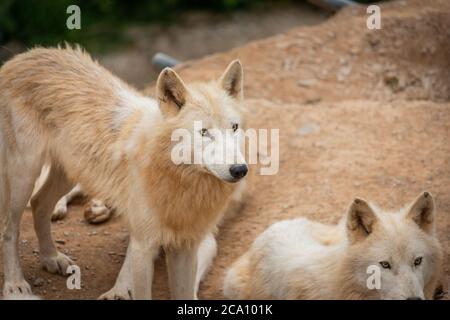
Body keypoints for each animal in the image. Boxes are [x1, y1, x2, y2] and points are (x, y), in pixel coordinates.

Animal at [0, 45, 248, 300]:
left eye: (234, 127)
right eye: (204, 132)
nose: (240, 170)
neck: (180, 179)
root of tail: (23, 56)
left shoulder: (186, 248)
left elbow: (185, 294)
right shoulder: (142, 246)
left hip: (68, 175)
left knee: (39, 203)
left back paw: (51, 258)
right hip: (24, 176)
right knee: (9, 227)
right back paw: (15, 285)